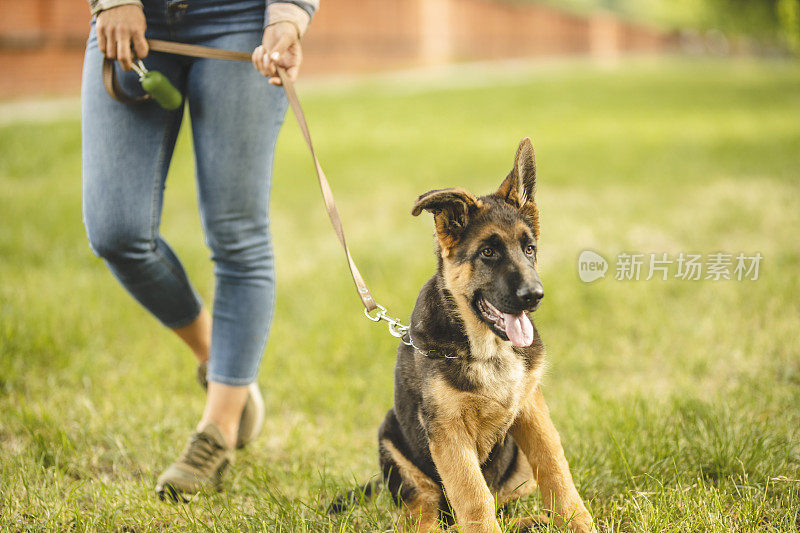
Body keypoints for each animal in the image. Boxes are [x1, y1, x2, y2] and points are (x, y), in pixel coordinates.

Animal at [370, 138, 592, 532]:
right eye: (488, 252)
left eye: (529, 249)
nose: (535, 296)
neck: (489, 349)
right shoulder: (448, 432)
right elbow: (473, 496)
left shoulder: (531, 408)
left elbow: (555, 468)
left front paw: (578, 522)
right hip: (394, 446)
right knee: (424, 511)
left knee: (505, 502)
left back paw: (533, 521)